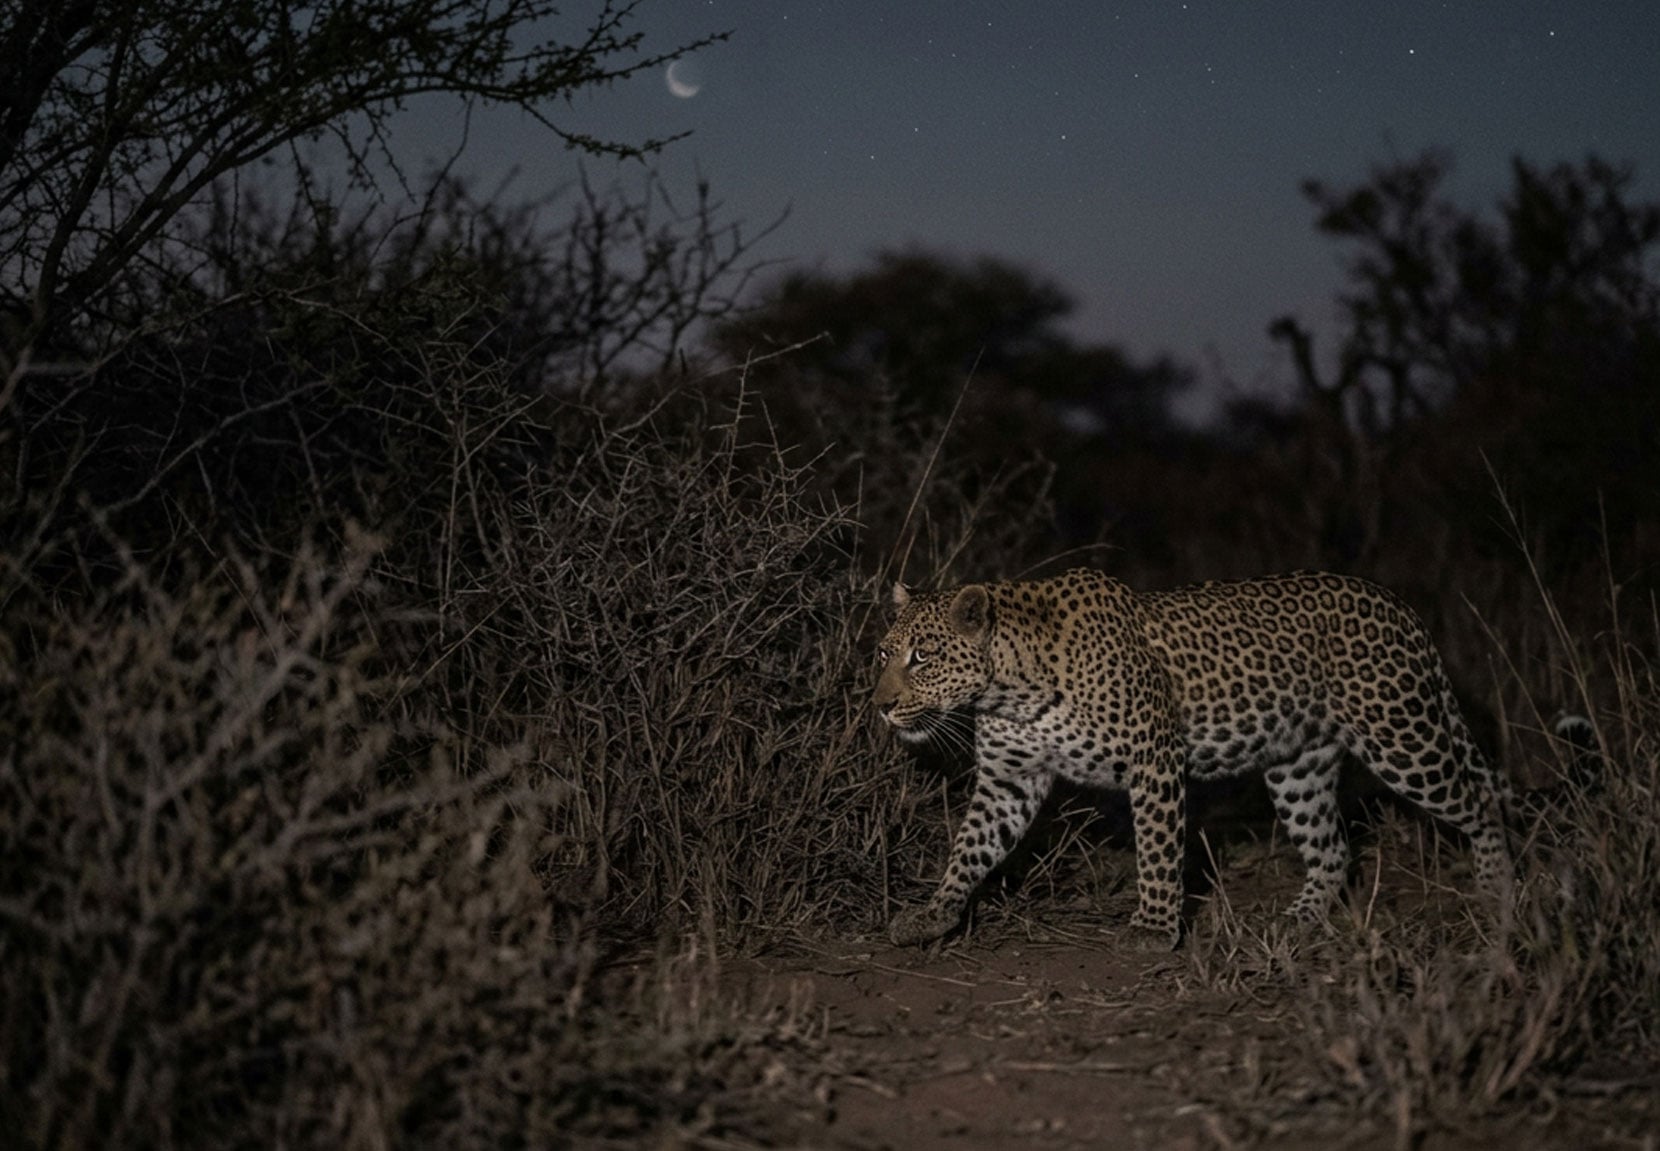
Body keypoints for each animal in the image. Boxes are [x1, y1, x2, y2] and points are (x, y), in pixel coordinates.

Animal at [874, 567, 1512, 950]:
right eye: (883, 652)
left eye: (922, 657)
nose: (880, 705)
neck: (1011, 689)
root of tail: (1399, 604)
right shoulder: (1009, 779)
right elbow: (970, 848)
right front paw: (933, 915)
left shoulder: (1154, 760)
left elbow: (1158, 850)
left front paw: (1155, 928)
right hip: (1297, 766)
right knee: (1331, 847)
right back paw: (1300, 918)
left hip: (1401, 736)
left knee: (1482, 799)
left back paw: (1498, 891)